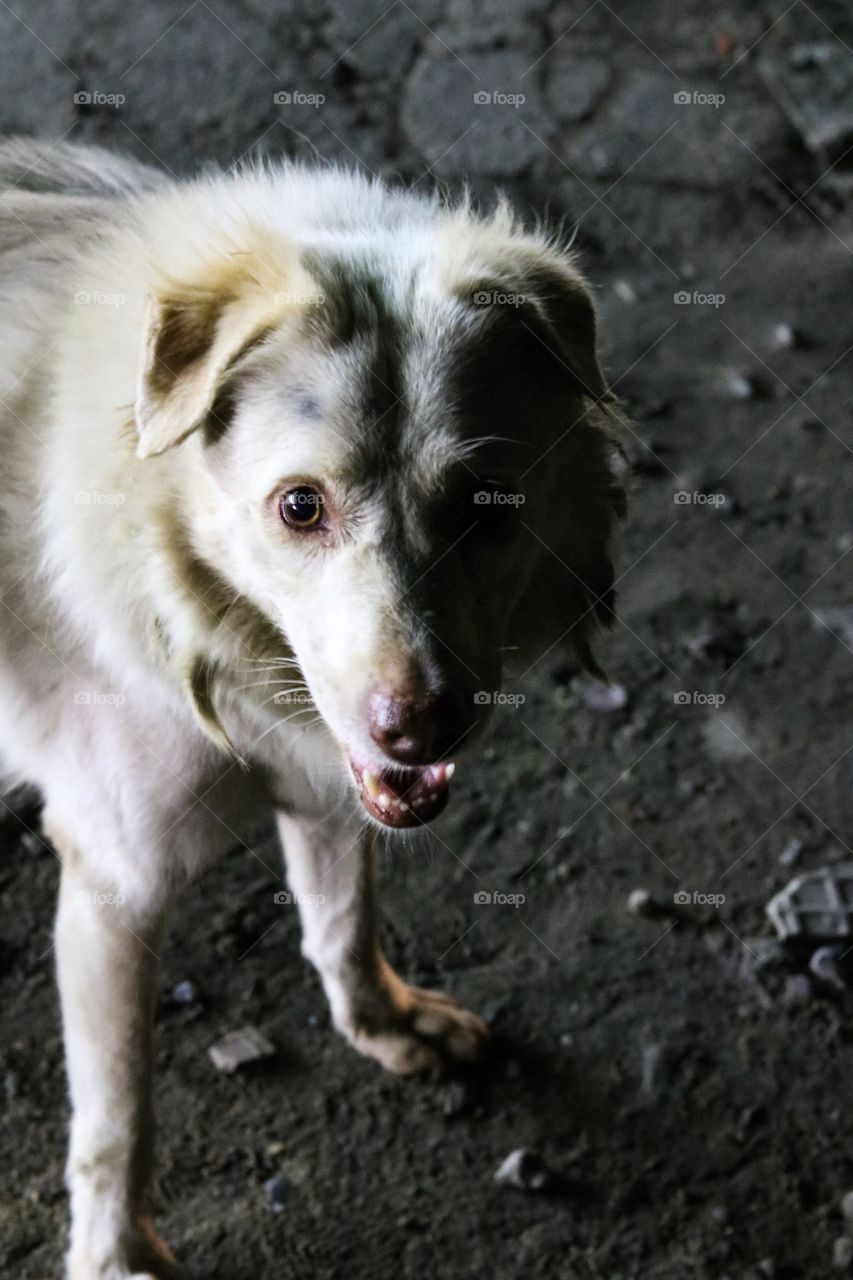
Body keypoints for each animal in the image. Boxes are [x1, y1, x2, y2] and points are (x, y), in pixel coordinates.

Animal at [0, 140, 625, 1280]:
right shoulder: (111, 881)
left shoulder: (328, 778)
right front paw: (115, 1253)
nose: (418, 727)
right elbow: (117, 1112)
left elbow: (340, 918)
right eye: (301, 507)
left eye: (485, 506)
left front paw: (385, 1024)